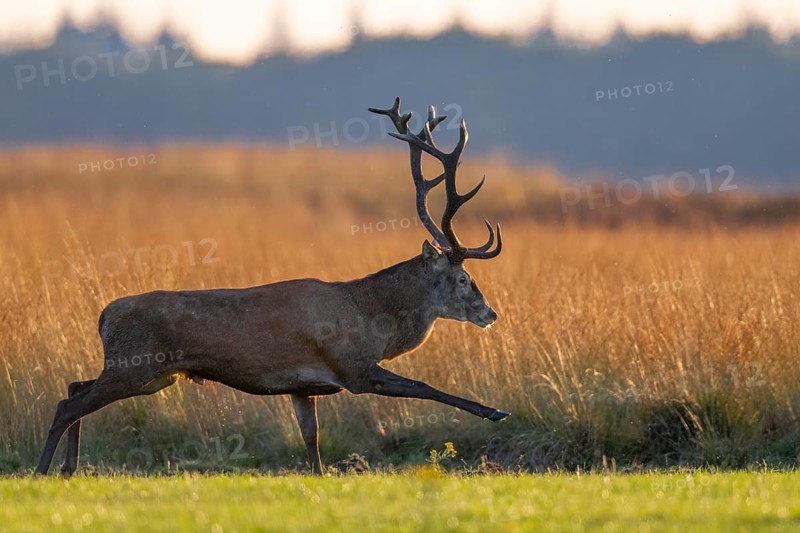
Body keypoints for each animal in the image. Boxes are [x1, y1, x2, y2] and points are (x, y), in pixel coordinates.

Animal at [35, 97, 507, 477]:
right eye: (464, 279)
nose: (490, 313)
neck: (372, 318)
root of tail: (104, 315)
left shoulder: (303, 387)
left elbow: (312, 441)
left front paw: (320, 476)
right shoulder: (351, 366)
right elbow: (425, 388)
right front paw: (494, 411)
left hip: (151, 375)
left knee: (75, 386)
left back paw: (68, 467)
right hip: (135, 364)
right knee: (67, 403)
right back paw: (43, 470)